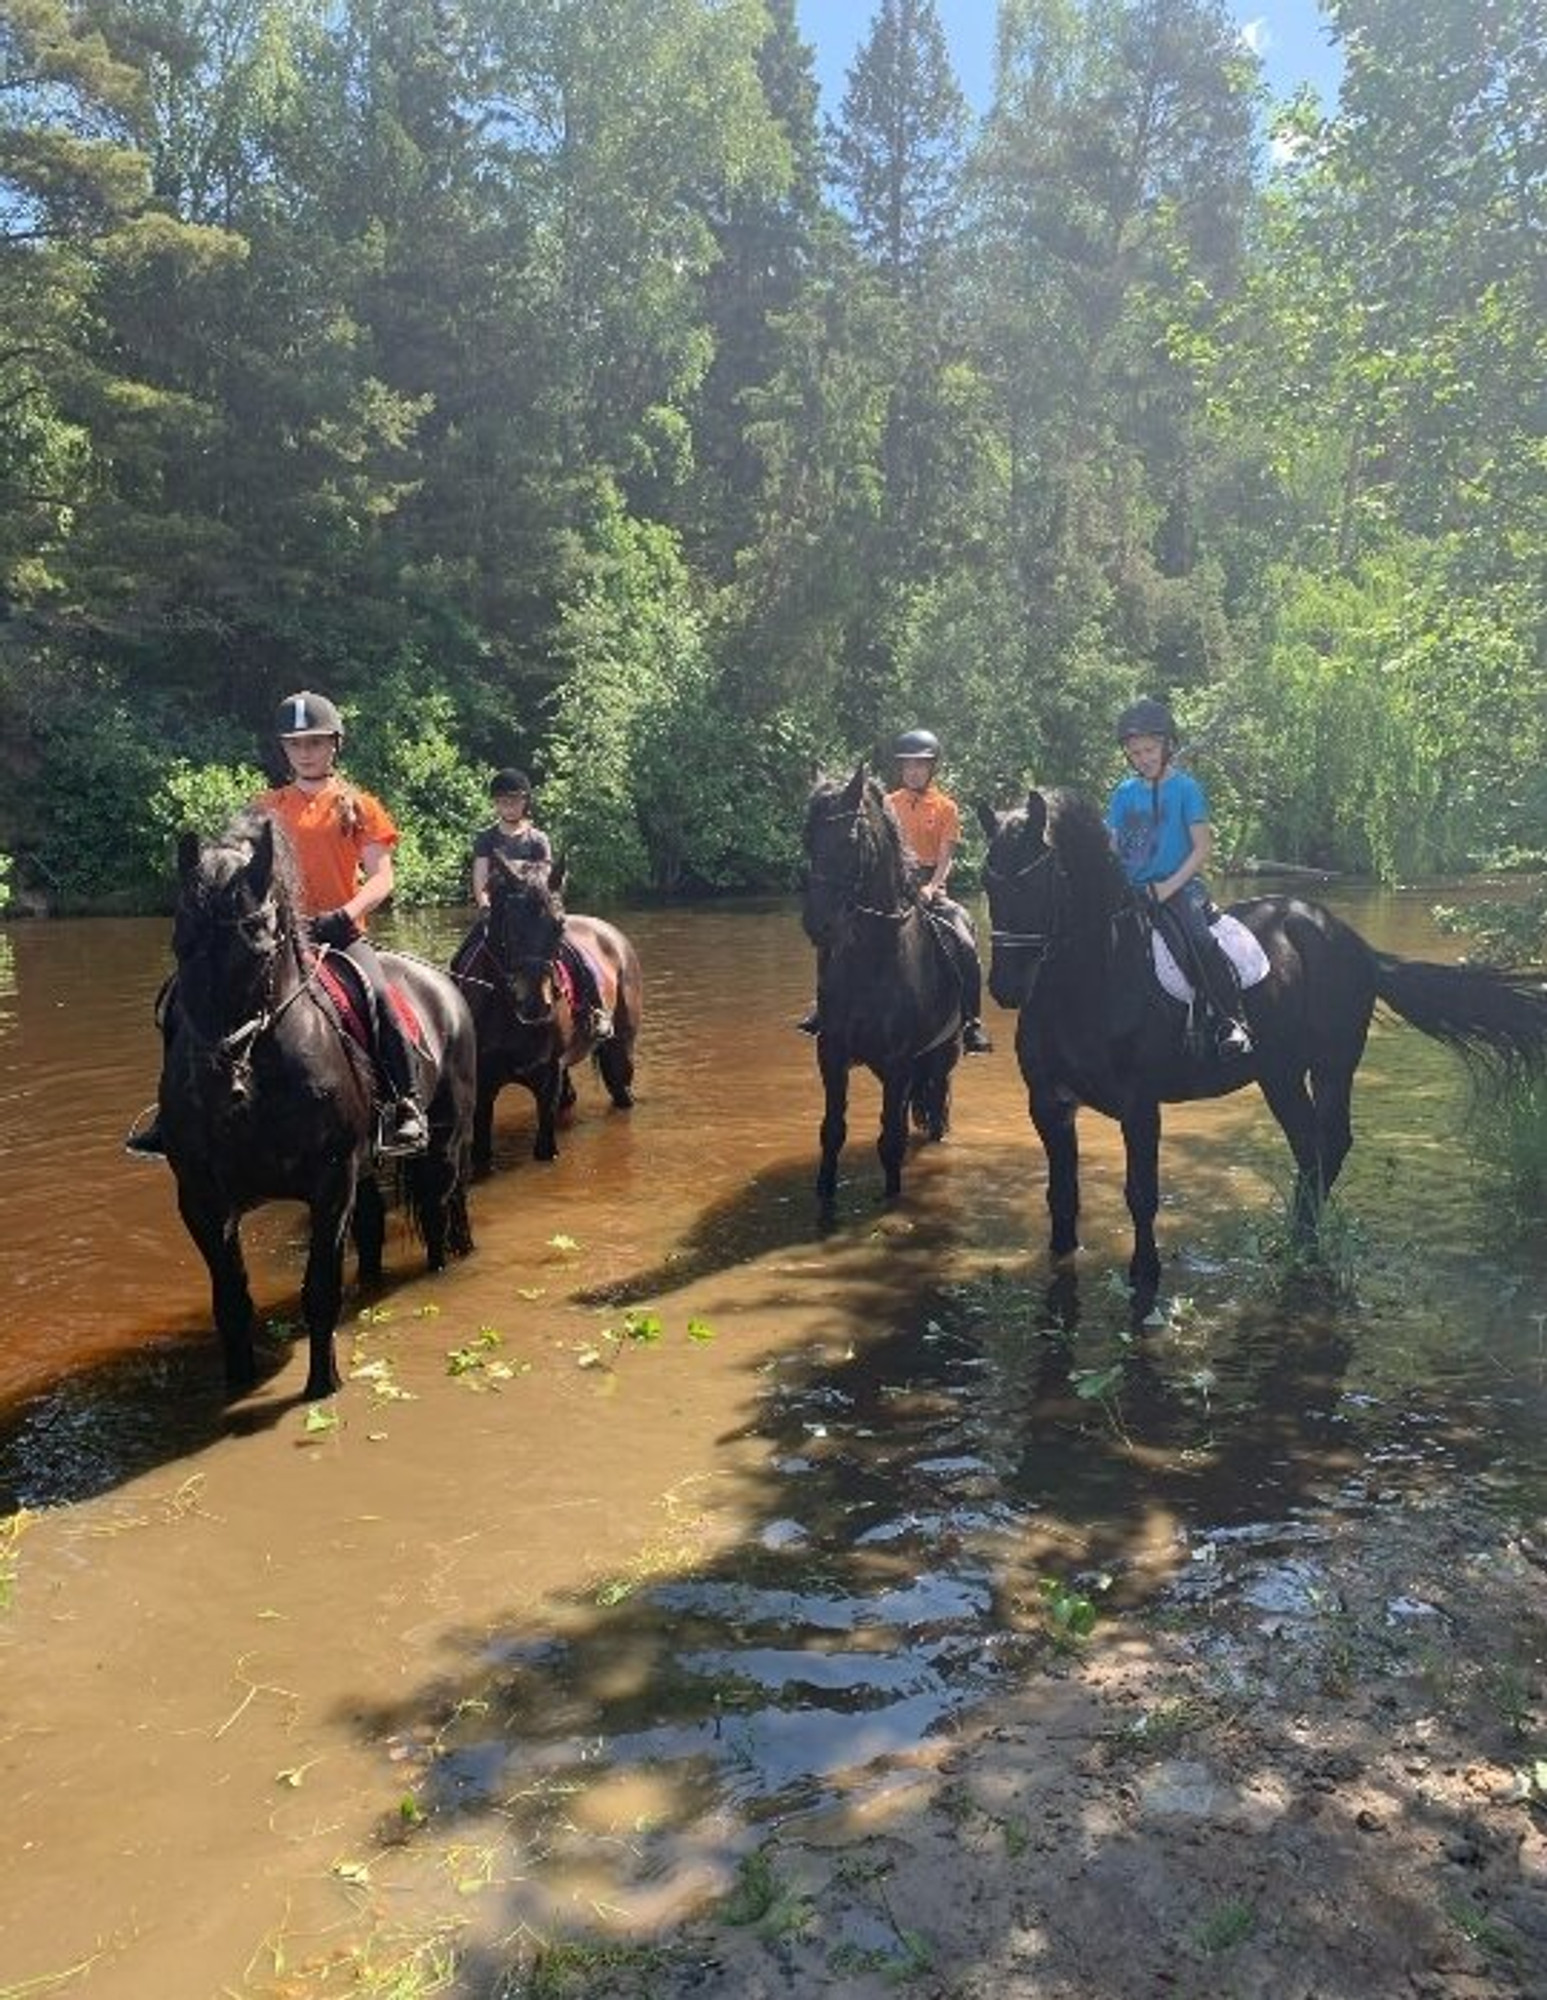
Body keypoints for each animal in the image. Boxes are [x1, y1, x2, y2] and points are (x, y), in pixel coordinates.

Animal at [160, 804, 477, 1400]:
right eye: (180, 944)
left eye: (260, 949)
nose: (209, 1086)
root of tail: (441, 985)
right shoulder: (202, 1199)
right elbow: (230, 1301)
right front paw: (239, 1383)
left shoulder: (329, 1184)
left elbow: (320, 1289)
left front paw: (322, 1385)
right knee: (376, 1226)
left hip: (445, 1141)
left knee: (440, 1211)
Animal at [451, 852, 643, 1168]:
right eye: (511, 923)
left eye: (559, 925)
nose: (535, 1004)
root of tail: (614, 935)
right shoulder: (484, 1085)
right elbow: (481, 1155)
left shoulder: (548, 1076)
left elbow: (545, 1150)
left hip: (620, 1049)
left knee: (621, 1091)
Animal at [799, 764, 967, 1200]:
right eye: (807, 838)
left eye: (851, 840)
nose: (818, 924)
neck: (872, 961)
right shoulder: (832, 1054)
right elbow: (832, 1132)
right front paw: (824, 1194)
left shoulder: (897, 1063)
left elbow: (890, 1140)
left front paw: (892, 1199)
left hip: (943, 1055)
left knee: (935, 1114)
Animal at [983, 788, 1547, 1320]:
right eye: (989, 884)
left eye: (1035, 881)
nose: (1006, 988)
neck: (1093, 983)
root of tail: (1350, 941)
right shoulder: (1050, 1105)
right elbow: (1061, 1197)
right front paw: (1060, 1263)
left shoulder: (1140, 1108)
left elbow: (1141, 1196)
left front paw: (1145, 1279)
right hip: (1280, 1073)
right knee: (1309, 1145)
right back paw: (1296, 1240)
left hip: (1332, 1065)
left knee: (1329, 1142)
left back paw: (1305, 1244)